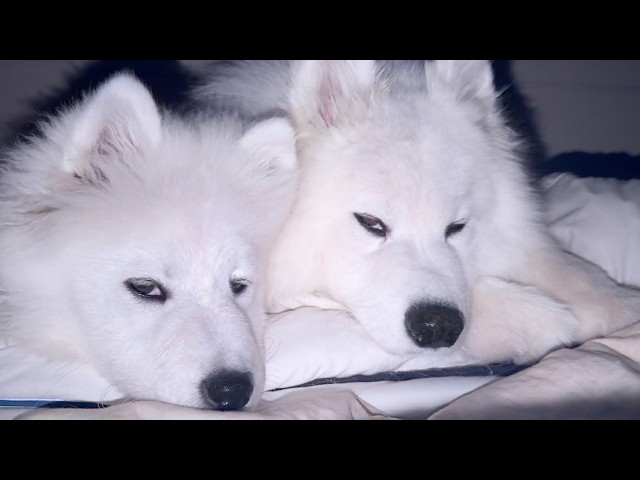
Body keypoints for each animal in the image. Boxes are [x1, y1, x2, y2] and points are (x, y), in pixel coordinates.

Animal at [190, 60, 640, 366]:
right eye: (371, 223)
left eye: (456, 226)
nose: (437, 325)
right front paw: (534, 318)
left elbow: (567, 270)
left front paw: (617, 305)